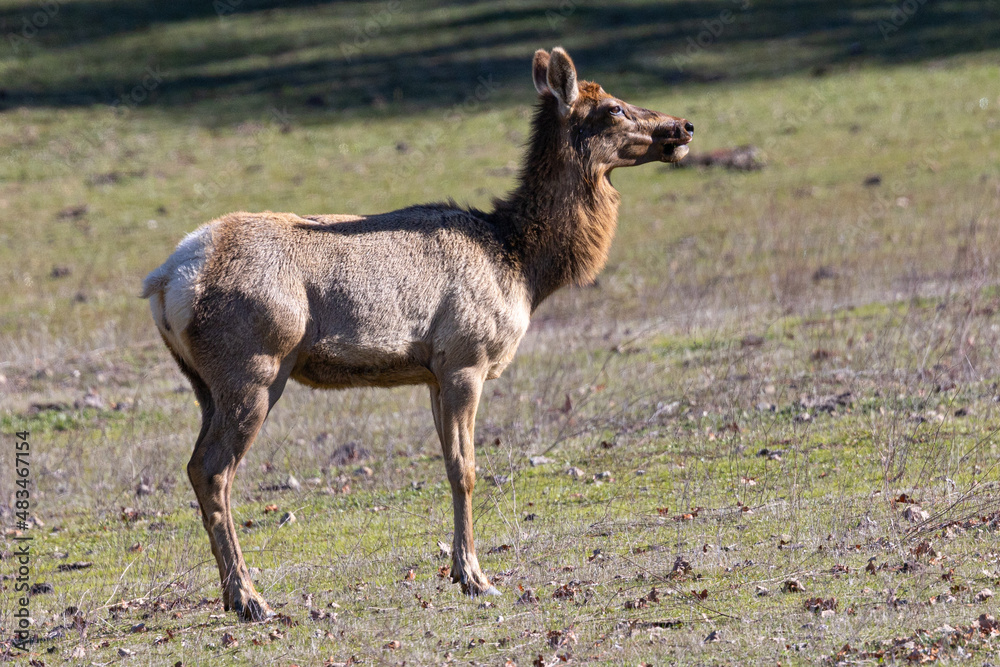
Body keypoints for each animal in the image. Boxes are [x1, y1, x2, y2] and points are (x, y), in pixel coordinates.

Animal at [141, 46, 693, 621]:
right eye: (613, 108)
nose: (683, 126)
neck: (522, 266)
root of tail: (165, 282)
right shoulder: (466, 358)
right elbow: (464, 469)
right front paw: (475, 577)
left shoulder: (432, 371)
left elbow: (449, 464)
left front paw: (460, 571)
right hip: (253, 367)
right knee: (213, 470)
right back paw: (251, 598)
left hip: (205, 383)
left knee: (196, 467)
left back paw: (235, 594)